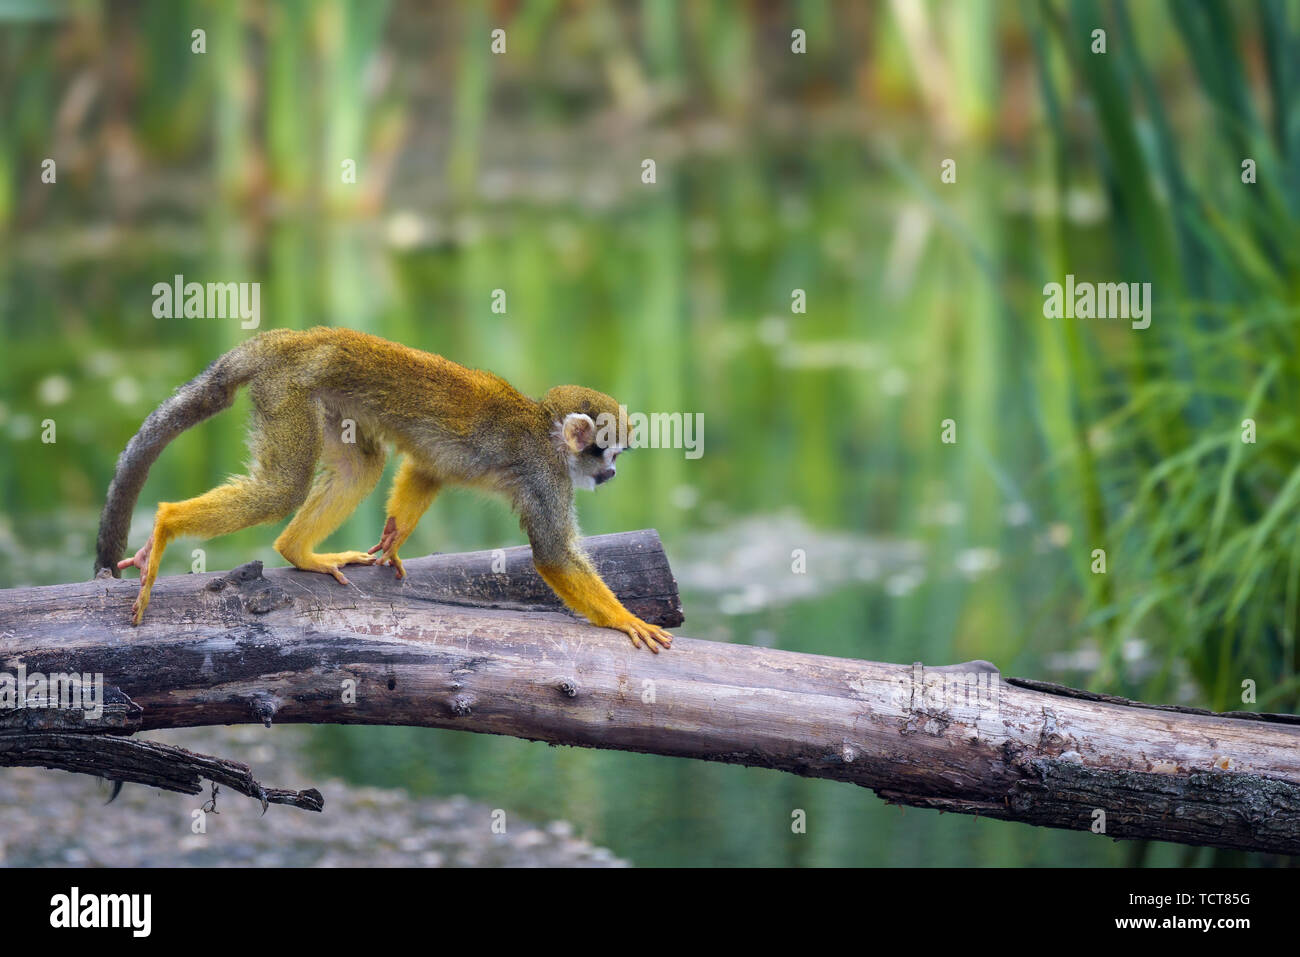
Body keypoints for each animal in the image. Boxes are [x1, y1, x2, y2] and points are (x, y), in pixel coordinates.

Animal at [94, 327, 670, 650]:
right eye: (608, 453)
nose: (612, 475)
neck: (545, 432)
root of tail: (288, 339)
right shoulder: (545, 475)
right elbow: (553, 555)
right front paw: (627, 620)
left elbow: (428, 467)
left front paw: (395, 538)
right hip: (288, 391)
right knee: (281, 489)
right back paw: (166, 524)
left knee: (361, 464)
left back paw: (296, 551)